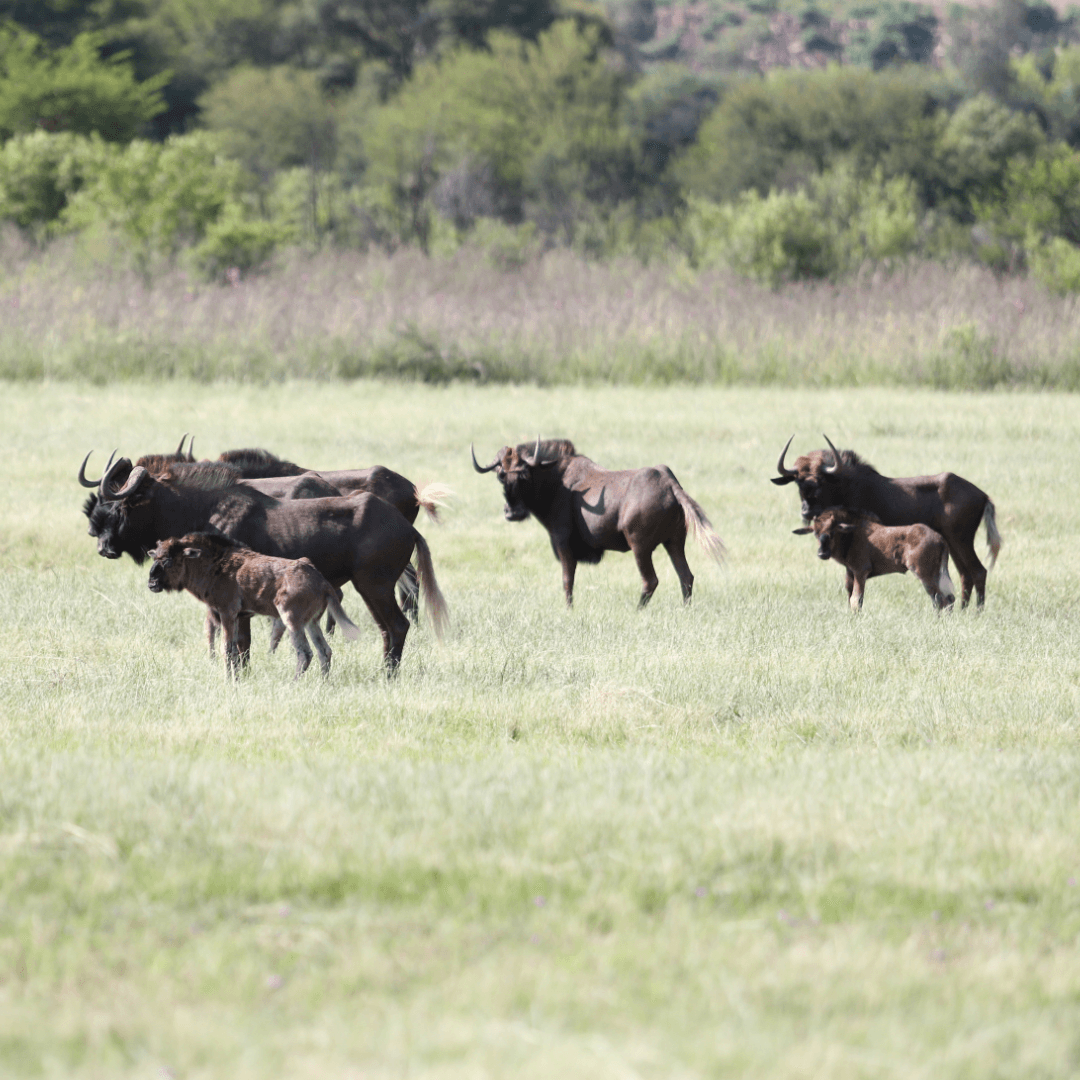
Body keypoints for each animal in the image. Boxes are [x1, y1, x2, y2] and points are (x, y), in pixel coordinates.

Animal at [145, 533, 365, 678]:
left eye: (168, 560)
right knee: (324, 651)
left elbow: (227, 649)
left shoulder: (227, 613)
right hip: (311, 623)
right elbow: (237, 652)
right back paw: (323, 683)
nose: (151, 583)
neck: (216, 566)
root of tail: (322, 581)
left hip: (292, 620)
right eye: (155, 557)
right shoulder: (238, 617)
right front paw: (238, 678)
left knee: (305, 653)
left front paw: (229, 680)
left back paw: (294, 683)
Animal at [794, 507, 954, 613]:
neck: (851, 535)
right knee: (949, 598)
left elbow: (855, 600)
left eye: (833, 532)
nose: (822, 553)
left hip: (924, 574)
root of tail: (940, 539)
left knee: (940, 599)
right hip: (936, 574)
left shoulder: (860, 572)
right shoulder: (851, 574)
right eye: (815, 533)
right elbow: (853, 599)